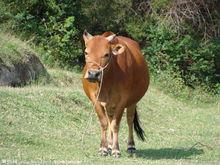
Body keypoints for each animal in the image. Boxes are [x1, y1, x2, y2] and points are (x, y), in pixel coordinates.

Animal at [82, 30, 150, 158]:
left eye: (106, 54)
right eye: (86, 52)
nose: (93, 74)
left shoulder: (122, 101)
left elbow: (115, 124)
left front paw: (116, 149)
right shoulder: (95, 100)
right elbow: (104, 122)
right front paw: (103, 148)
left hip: (133, 102)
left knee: (129, 120)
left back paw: (130, 146)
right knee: (109, 118)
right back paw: (109, 144)